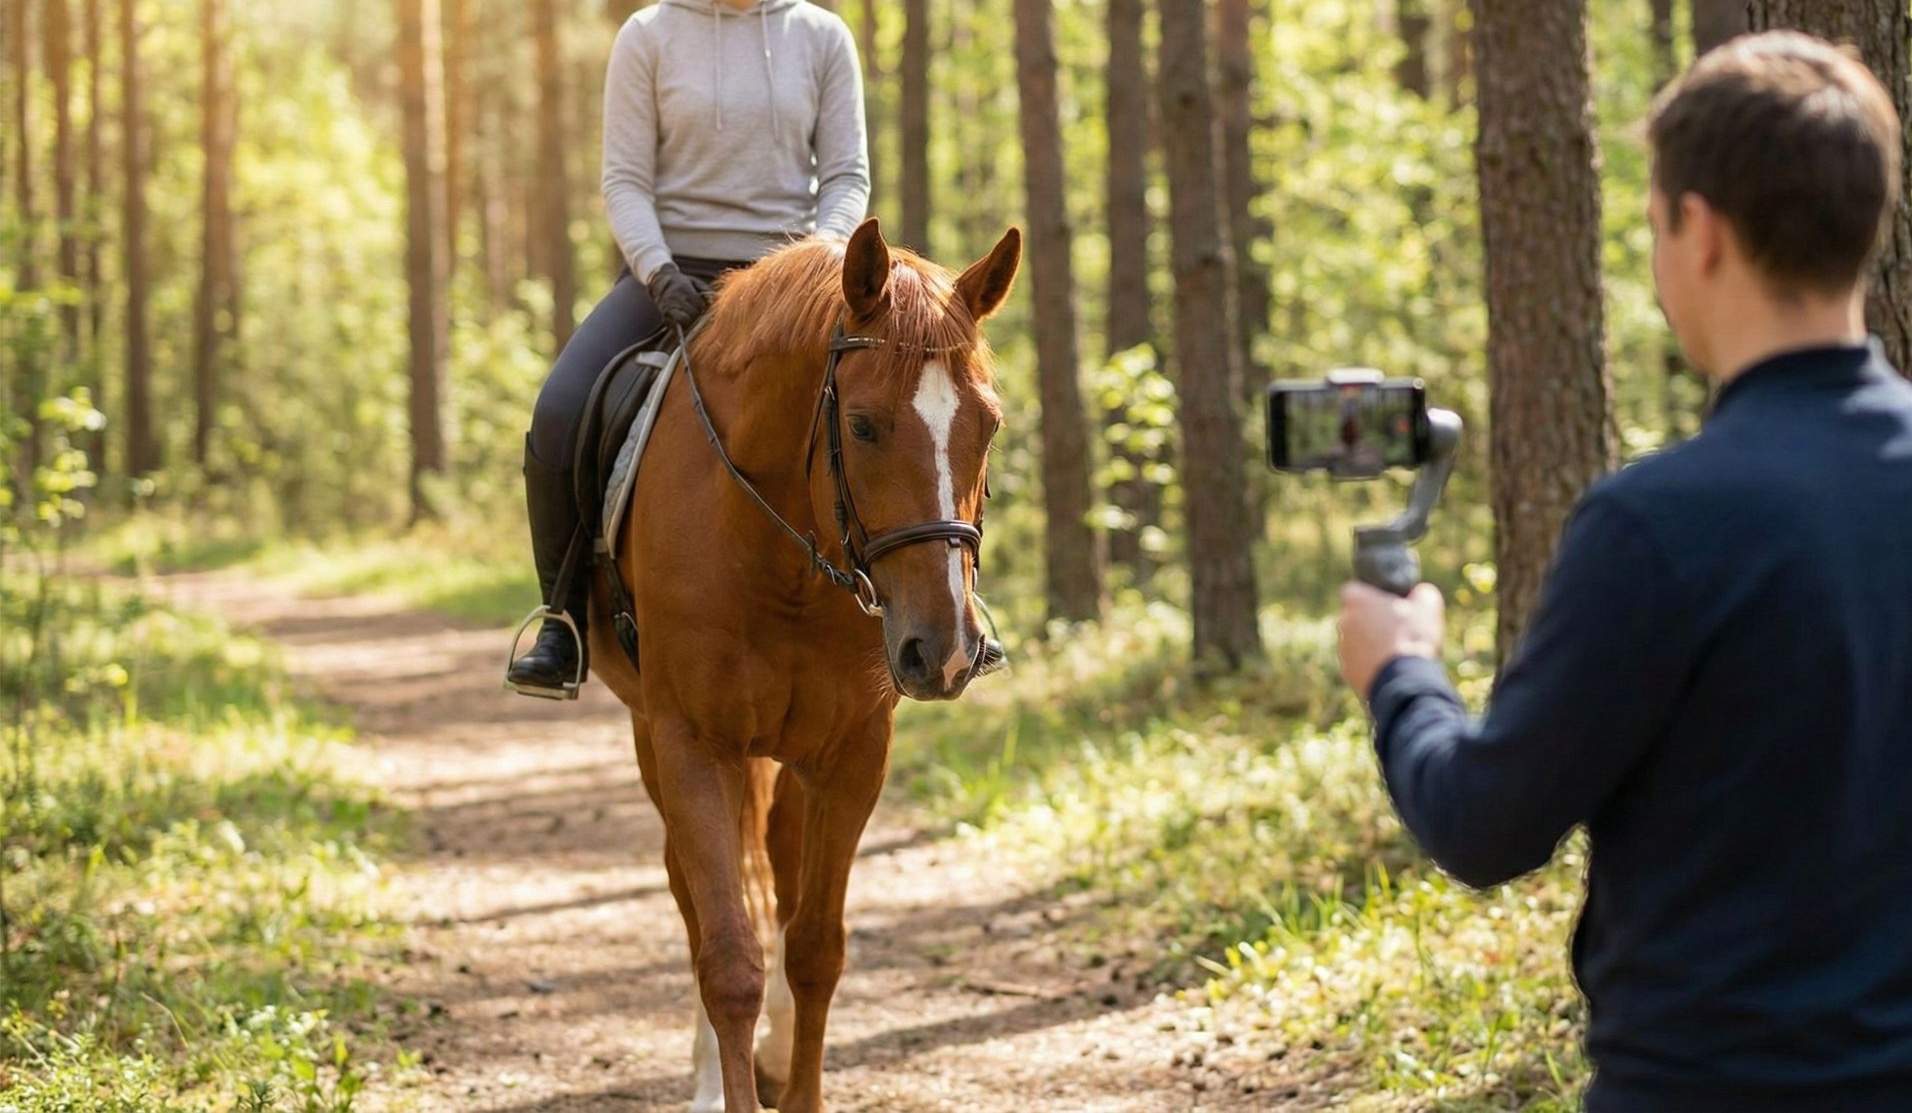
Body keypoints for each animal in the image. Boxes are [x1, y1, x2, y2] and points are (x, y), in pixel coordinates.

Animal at [587, 217, 1022, 1112]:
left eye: (989, 426)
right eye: (861, 425)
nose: (944, 650)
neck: (780, 553)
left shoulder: (854, 754)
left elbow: (817, 946)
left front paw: (799, 1082)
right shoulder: (695, 746)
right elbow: (727, 955)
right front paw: (725, 1084)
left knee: (782, 878)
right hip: (657, 736)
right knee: (693, 892)